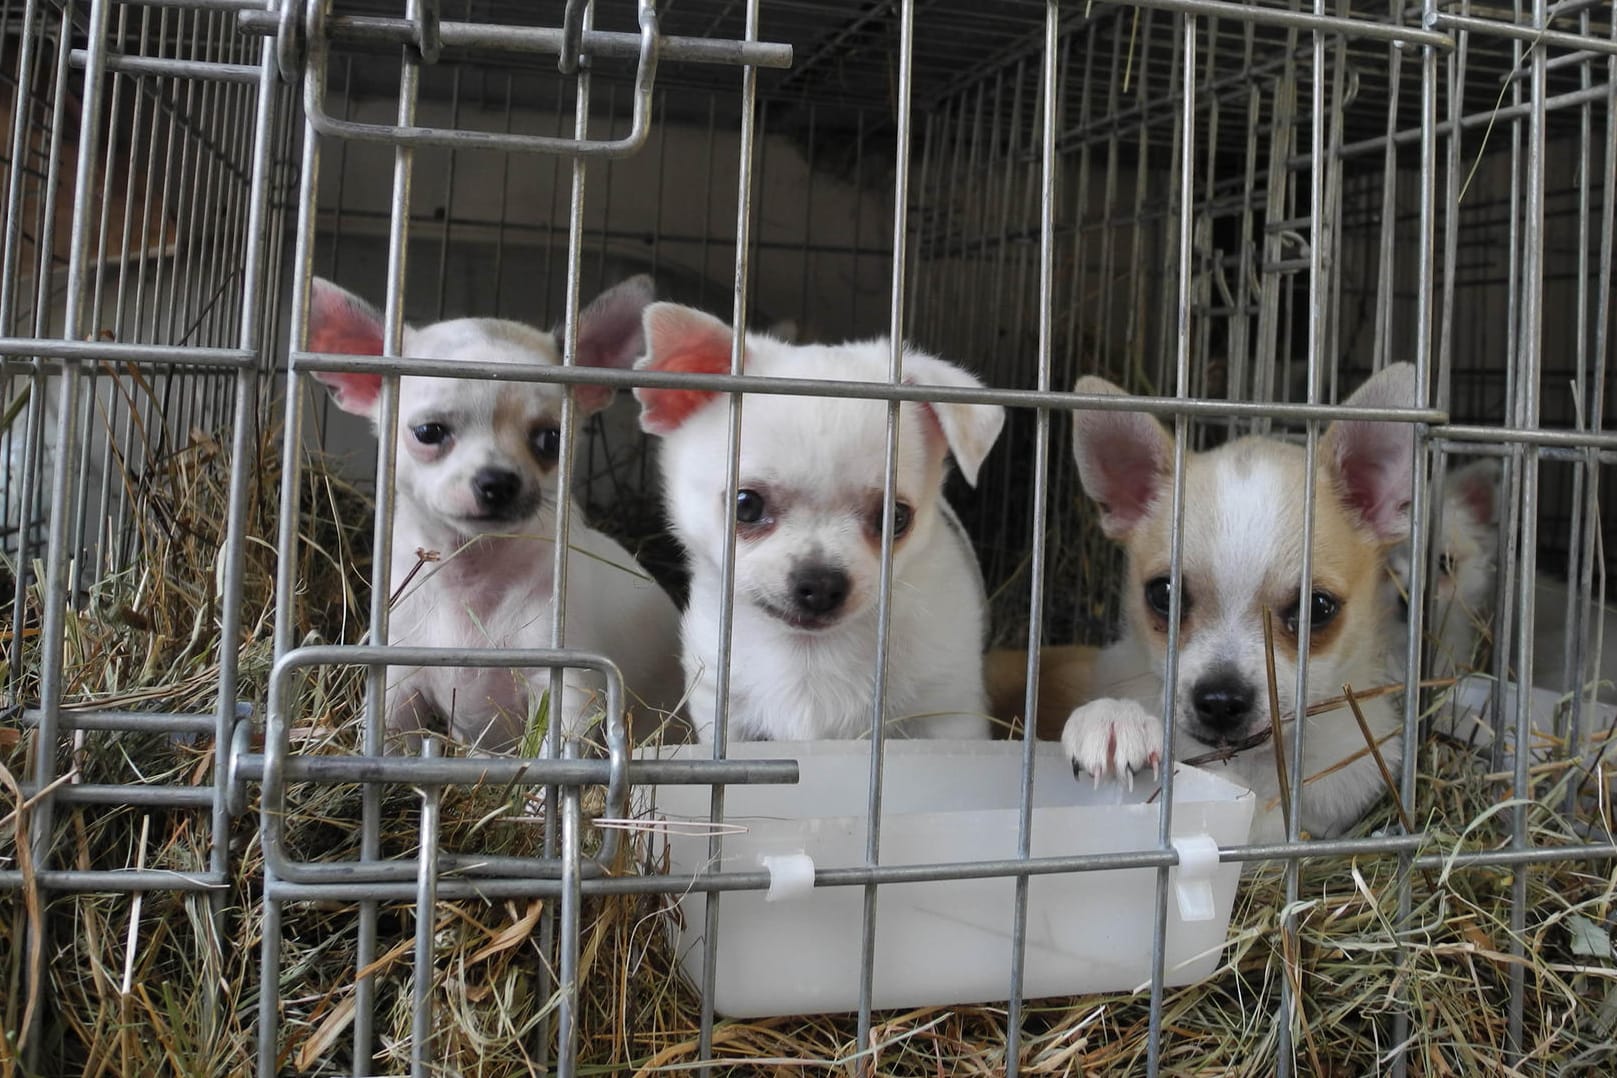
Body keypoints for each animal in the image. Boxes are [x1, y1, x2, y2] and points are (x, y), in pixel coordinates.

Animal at [307, 276, 682, 749]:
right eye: (428, 432)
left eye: (551, 440)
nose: (498, 481)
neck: (474, 579)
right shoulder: (398, 690)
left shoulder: (569, 694)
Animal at [627, 303, 996, 743]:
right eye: (746, 506)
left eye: (895, 518)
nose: (821, 583)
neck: (809, 654)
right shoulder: (726, 717)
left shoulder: (947, 717)